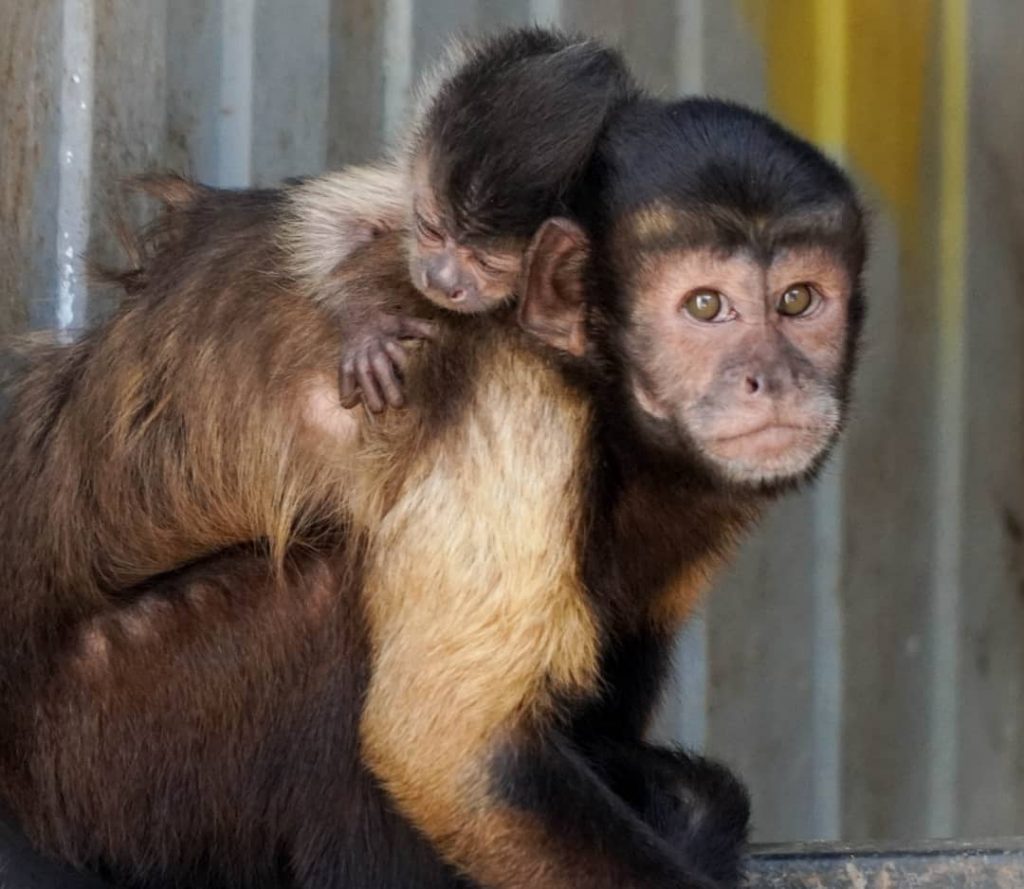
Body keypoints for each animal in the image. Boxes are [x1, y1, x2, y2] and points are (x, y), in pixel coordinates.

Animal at [0, 92, 864, 889]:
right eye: (705, 307)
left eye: (797, 301)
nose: (774, 378)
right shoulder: (515, 399)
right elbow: (450, 754)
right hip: (90, 758)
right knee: (326, 607)